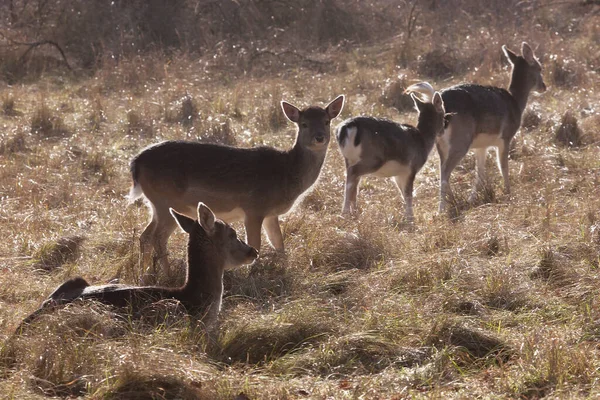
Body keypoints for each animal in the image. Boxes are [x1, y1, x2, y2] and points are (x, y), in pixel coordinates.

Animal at [129, 95, 344, 280]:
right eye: (304, 123)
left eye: (327, 121)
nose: (319, 137)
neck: (286, 175)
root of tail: (136, 163)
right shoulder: (254, 208)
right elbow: (256, 243)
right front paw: (251, 274)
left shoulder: (271, 214)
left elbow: (279, 244)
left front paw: (285, 270)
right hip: (167, 201)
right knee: (158, 238)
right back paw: (168, 274)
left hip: (156, 204)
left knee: (144, 237)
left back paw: (143, 274)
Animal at [336, 91, 448, 222]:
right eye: (444, 114)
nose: (443, 130)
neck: (423, 141)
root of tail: (347, 127)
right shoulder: (411, 168)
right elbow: (408, 194)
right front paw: (410, 218)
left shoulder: (398, 175)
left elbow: (403, 193)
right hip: (373, 159)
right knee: (353, 174)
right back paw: (345, 212)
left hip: (349, 159)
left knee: (353, 179)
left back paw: (354, 212)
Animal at [406, 41, 548, 212]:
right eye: (539, 67)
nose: (544, 86)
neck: (515, 104)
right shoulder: (506, 137)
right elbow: (503, 167)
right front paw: (508, 193)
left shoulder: (481, 146)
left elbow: (479, 173)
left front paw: (472, 198)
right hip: (461, 140)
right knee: (445, 172)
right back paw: (442, 208)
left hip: (441, 143)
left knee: (442, 170)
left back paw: (453, 202)